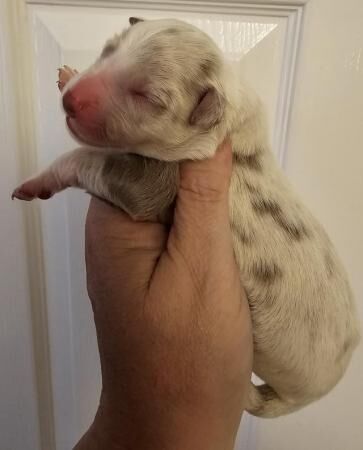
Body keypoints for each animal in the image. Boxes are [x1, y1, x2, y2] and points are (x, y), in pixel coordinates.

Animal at [12, 17, 360, 418]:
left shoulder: (160, 179)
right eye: (109, 49)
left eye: (148, 97)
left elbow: (91, 160)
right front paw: (68, 73)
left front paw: (39, 181)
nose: (70, 99)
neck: (231, 103)